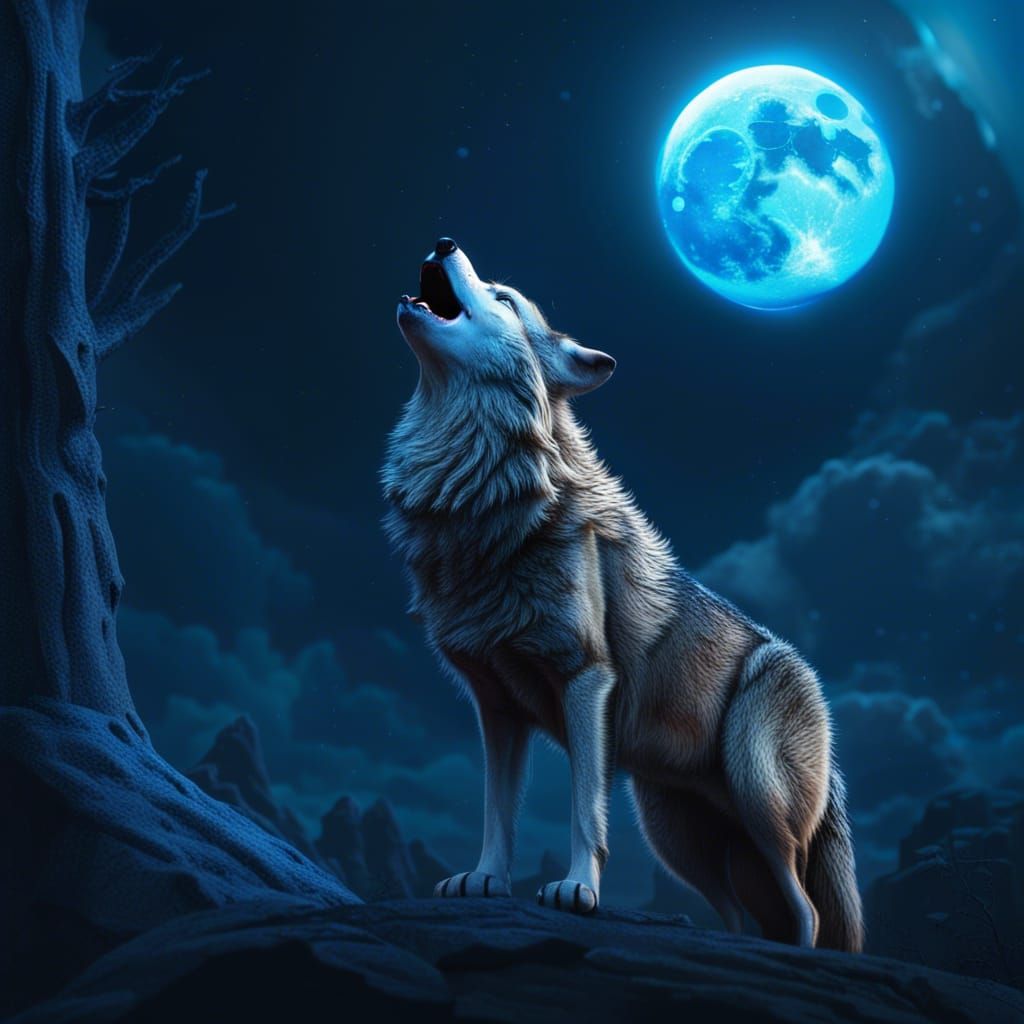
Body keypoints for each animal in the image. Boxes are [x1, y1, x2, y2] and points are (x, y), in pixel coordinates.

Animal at [382, 237, 863, 951]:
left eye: (504, 299)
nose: (443, 242)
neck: (483, 492)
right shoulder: (495, 706)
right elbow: (498, 811)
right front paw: (485, 879)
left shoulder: (586, 678)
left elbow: (584, 812)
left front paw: (576, 890)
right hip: (677, 835)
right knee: (739, 912)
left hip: (756, 797)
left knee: (806, 908)